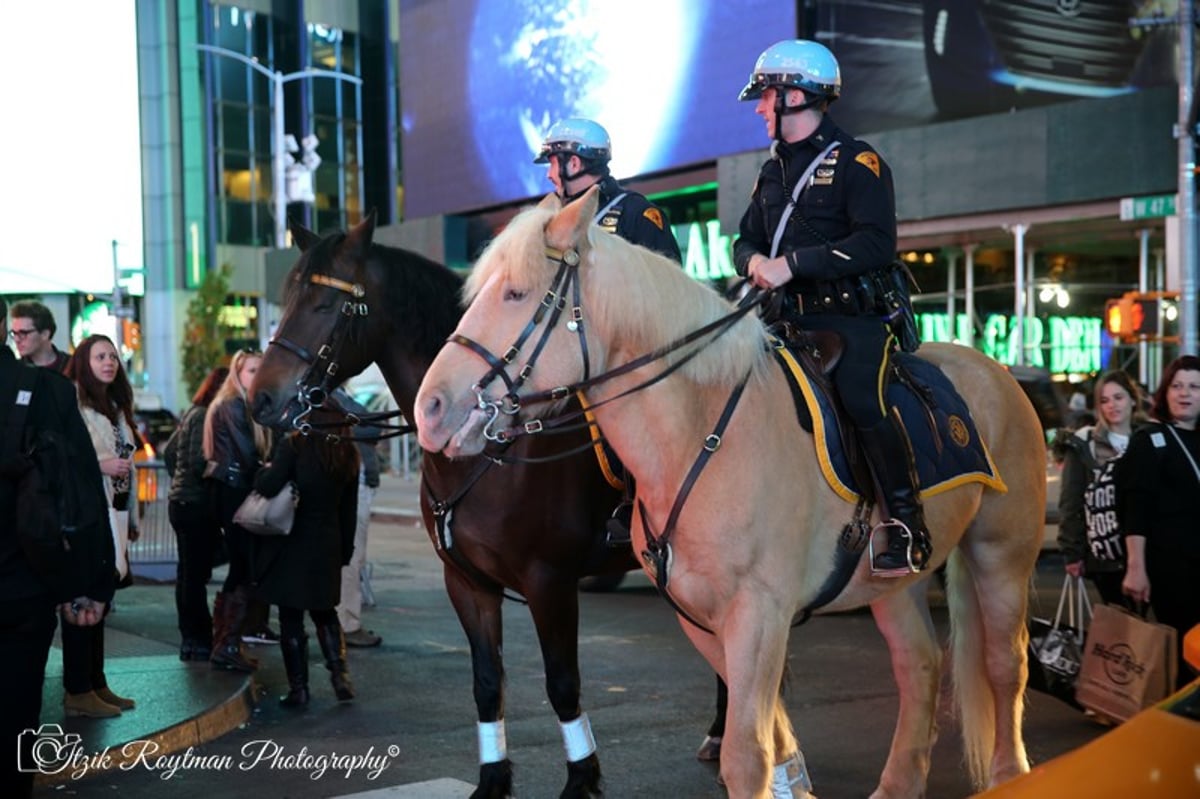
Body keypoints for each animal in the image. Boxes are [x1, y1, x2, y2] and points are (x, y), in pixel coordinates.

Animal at [248, 214, 715, 791]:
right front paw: (493, 779)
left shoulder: (549, 583)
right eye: (287, 297)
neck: (483, 448)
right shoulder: (468, 583)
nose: (262, 398)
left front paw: (582, 779)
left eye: (325, 305)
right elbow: (488, 682)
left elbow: (562, 684)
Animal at [415, 188, 1051, 796]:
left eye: (517, 294)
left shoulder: (757, 614)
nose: (430, 409)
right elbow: (765, 736)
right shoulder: (701, 617)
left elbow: (747, 755)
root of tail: (997, 373)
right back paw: (898, 784)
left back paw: (1009, 772)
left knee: (1005, 665)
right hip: (892, 580)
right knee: (919, 664)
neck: (700, 435)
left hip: (1002, 553)